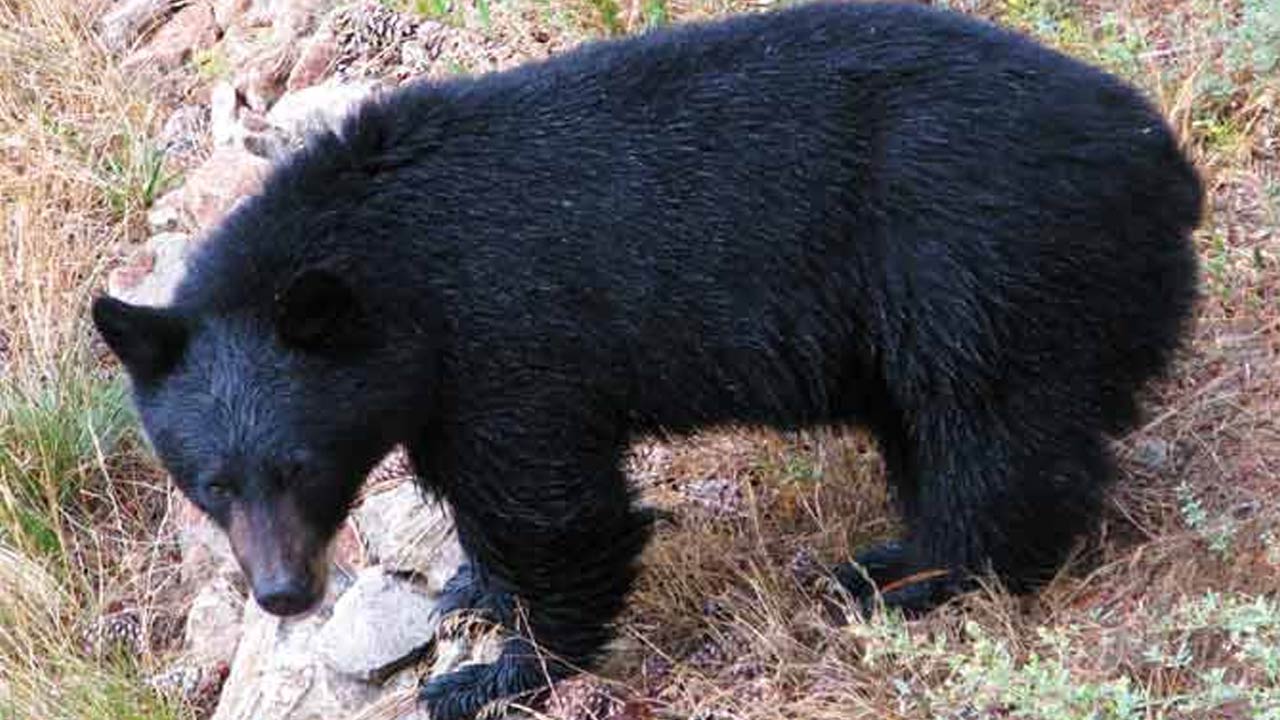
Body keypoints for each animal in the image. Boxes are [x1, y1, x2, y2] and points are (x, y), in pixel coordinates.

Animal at [92, 2, 1202, 718]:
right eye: (209, 483)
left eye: (300, 466)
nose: (283, 593)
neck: (385, 265)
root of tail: (1159, 157)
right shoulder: (440, 385)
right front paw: (470, 591)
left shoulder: (503, 339)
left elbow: (556, 508)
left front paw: (495, 673)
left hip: (979, 265)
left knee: (992, 430)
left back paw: (913, 573)